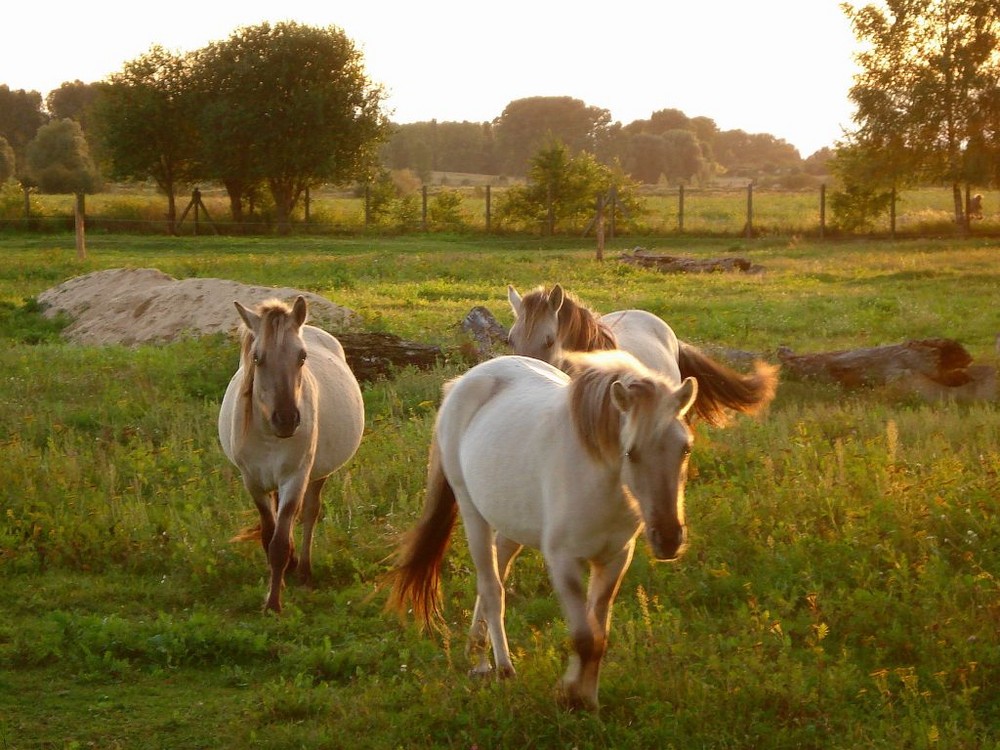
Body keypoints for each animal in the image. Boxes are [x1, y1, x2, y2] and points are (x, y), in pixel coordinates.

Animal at [217, 296, 366, 612]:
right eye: (257, 358)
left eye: (302, 357)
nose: (286, 420)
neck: (268, 436)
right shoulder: (253, 481)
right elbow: (268, 534)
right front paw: (276, 588)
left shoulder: (295, 478)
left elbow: (280, 542)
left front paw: (274, 603)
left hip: (318, 473)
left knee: (309, 512)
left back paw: (305, 569)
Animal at [386, 352, 700, 712]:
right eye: (630, 452)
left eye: (686, 449)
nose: (669, 539)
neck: (600, 478)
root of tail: (461, 383)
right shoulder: (563, 561)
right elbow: (584, 637)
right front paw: (572, 696)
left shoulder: (615, 559)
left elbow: (598, 635)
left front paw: (586, 697)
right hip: (471, 511)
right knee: (491, 588)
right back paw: (502, 668)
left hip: (511, 522)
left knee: (497, 571)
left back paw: (478, 655)